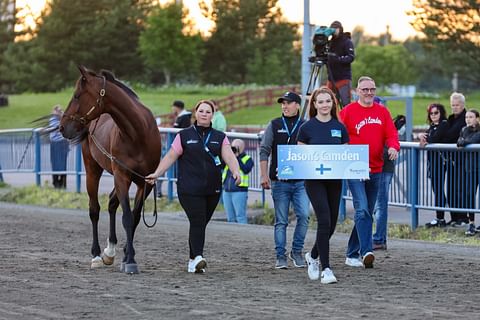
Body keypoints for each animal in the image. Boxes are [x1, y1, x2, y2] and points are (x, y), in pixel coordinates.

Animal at [59, 66, 161, 274]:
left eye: (76, 95)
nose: (62, 127)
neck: (138, 134)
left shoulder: (146, 182)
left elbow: (135, 217)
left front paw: (127, 255)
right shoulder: (122, 176)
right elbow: (127, 217)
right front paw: (130, 260)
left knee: (112, 203)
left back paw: (110, 251)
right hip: (93, 170)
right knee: (94, 210)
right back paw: (97, 255)